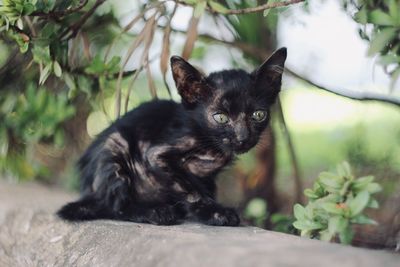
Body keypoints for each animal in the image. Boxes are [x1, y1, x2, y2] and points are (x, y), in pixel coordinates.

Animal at [57, 47, 288, 226]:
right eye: (221, 117)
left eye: (258, 115)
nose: (242, 137)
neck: (209, 144)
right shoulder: (157, 155)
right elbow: (190, 188)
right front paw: (215, 213)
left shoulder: (208, 177)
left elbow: (203, 188)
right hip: (114, 149)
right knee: (115, 207)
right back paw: (154, 211)